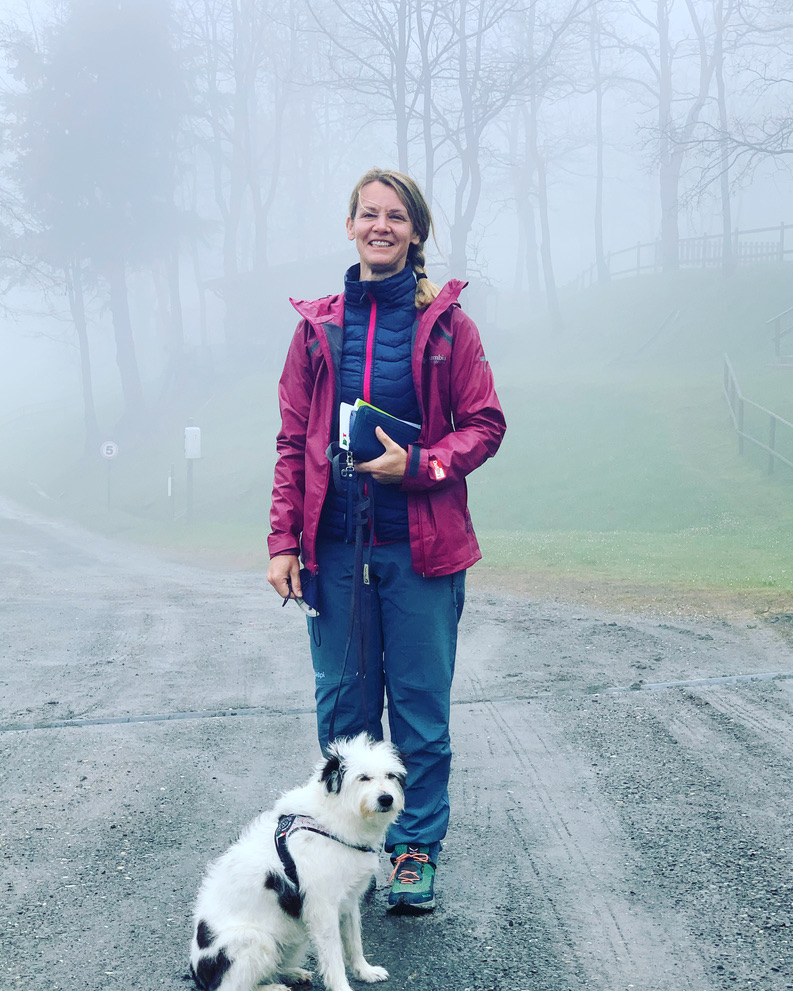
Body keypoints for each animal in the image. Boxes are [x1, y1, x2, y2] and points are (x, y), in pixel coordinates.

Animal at [189, 736, 406, 991]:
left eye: (390, 775)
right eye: (363, 777)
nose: (386, 799)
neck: (334, 820)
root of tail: (197, 971)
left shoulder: (348, 900)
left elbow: (354, 941)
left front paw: (365, 971)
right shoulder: (323, 909)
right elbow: (334, 957)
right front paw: (342, 986)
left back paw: (292, 974)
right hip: (255, 941)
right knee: (232, 988)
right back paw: (273, 987)